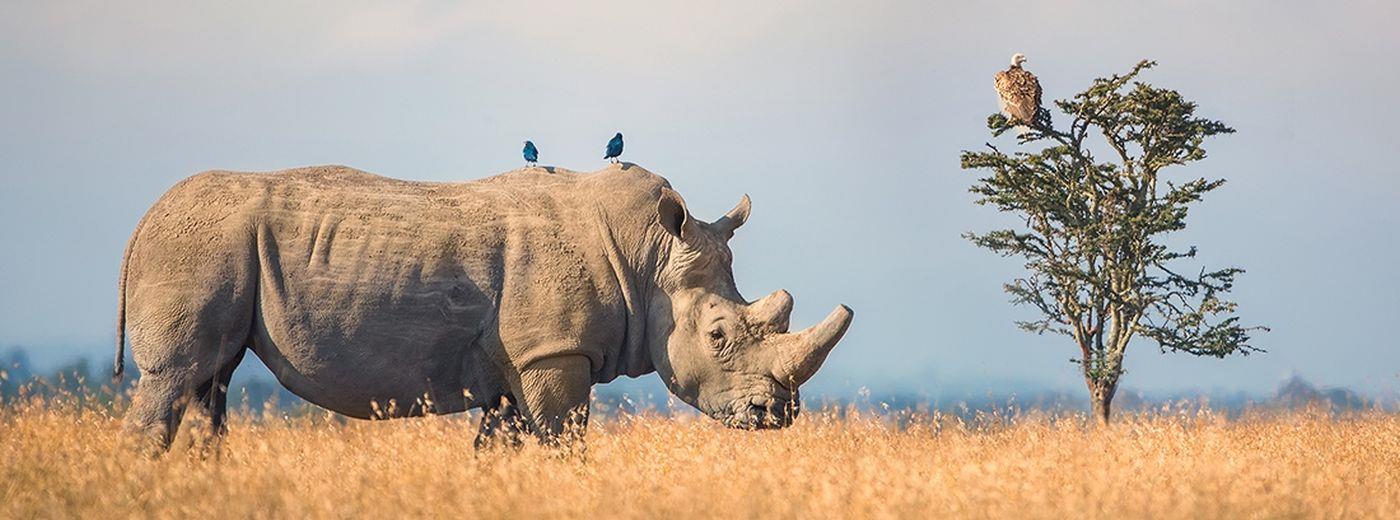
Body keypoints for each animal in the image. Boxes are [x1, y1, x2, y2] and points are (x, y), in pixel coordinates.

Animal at [114, 163, 851, 451]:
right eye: (720, 336)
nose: (777, 415)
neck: (647, 260)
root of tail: (141, 222)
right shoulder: (553, 353)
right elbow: (564, 442)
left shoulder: (520, 362)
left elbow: (503, 447)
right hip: (200, 244)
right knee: (175, 378)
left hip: (217, 248)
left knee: (211, 383)